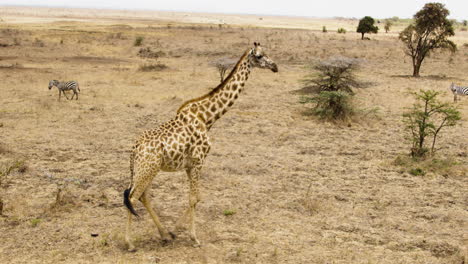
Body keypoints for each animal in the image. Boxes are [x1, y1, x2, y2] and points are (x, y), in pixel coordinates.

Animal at [123, 42, 278, 251]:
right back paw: (130, 243)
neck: (207, 118)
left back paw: (163, 234)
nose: (275, 66)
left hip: (146, 170)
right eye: (260, 56)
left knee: (142, 197)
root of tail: (134, 150)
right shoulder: (198, 161)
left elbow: (197, 197)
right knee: (132, 198)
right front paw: (193, 238)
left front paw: (174, 232)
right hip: (147, 170)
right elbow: (194, 199)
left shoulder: (190, 165)